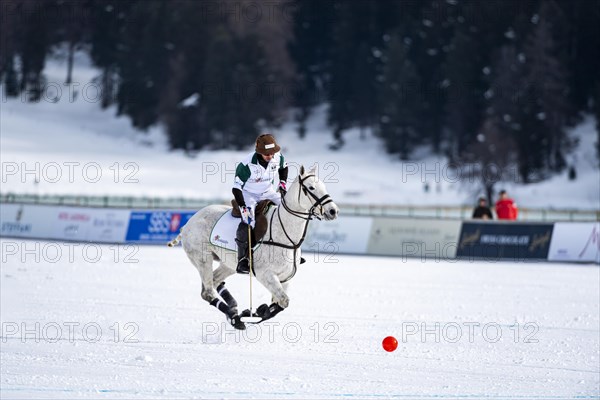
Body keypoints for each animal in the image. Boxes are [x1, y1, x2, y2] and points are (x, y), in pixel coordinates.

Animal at [168, 165, 338, 328]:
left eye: (323, 186)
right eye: (311, 188)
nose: (333, 211)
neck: (288, 237)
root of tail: (187, 224)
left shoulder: (285, 278)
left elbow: (278, 304)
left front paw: (257, 311)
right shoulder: (265, 274)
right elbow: (284, 301)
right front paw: (253, 313)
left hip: (228, 264)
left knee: (214, 282)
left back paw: (233, 308)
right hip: (202, 259)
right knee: (207, 292)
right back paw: (235, 318)